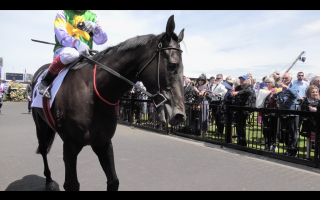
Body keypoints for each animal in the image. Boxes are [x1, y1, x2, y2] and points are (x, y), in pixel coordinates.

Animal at [31, 14, 186, 191]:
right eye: (173, 65)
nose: (180, 115)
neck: (92, 94)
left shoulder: (103, 143)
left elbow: (113, 181)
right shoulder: (70, 146)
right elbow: (72, 184)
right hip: (40, 124)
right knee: (43, 149)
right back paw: (49, 180)